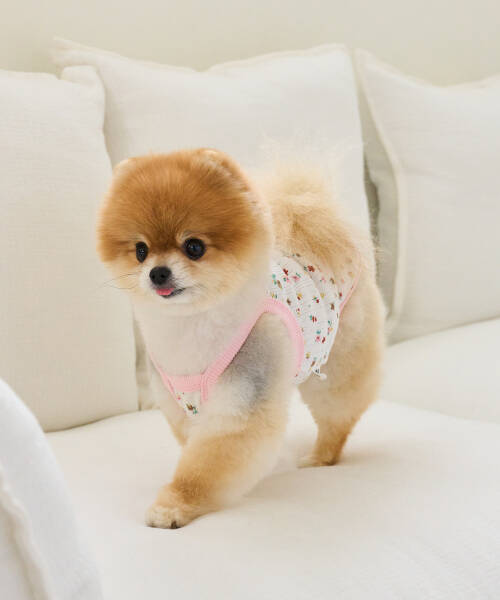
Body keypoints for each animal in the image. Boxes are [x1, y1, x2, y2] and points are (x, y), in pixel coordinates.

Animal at [97, 148, 384, 528]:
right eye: (140, 251)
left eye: (194, 247)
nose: (157, 273)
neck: (190, 326)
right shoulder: (180, 408)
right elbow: (196, 453)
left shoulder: (240, 408)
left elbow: (203, 470)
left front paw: (174, 506)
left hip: (338, 364)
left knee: (338, 415)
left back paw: (320, 457)